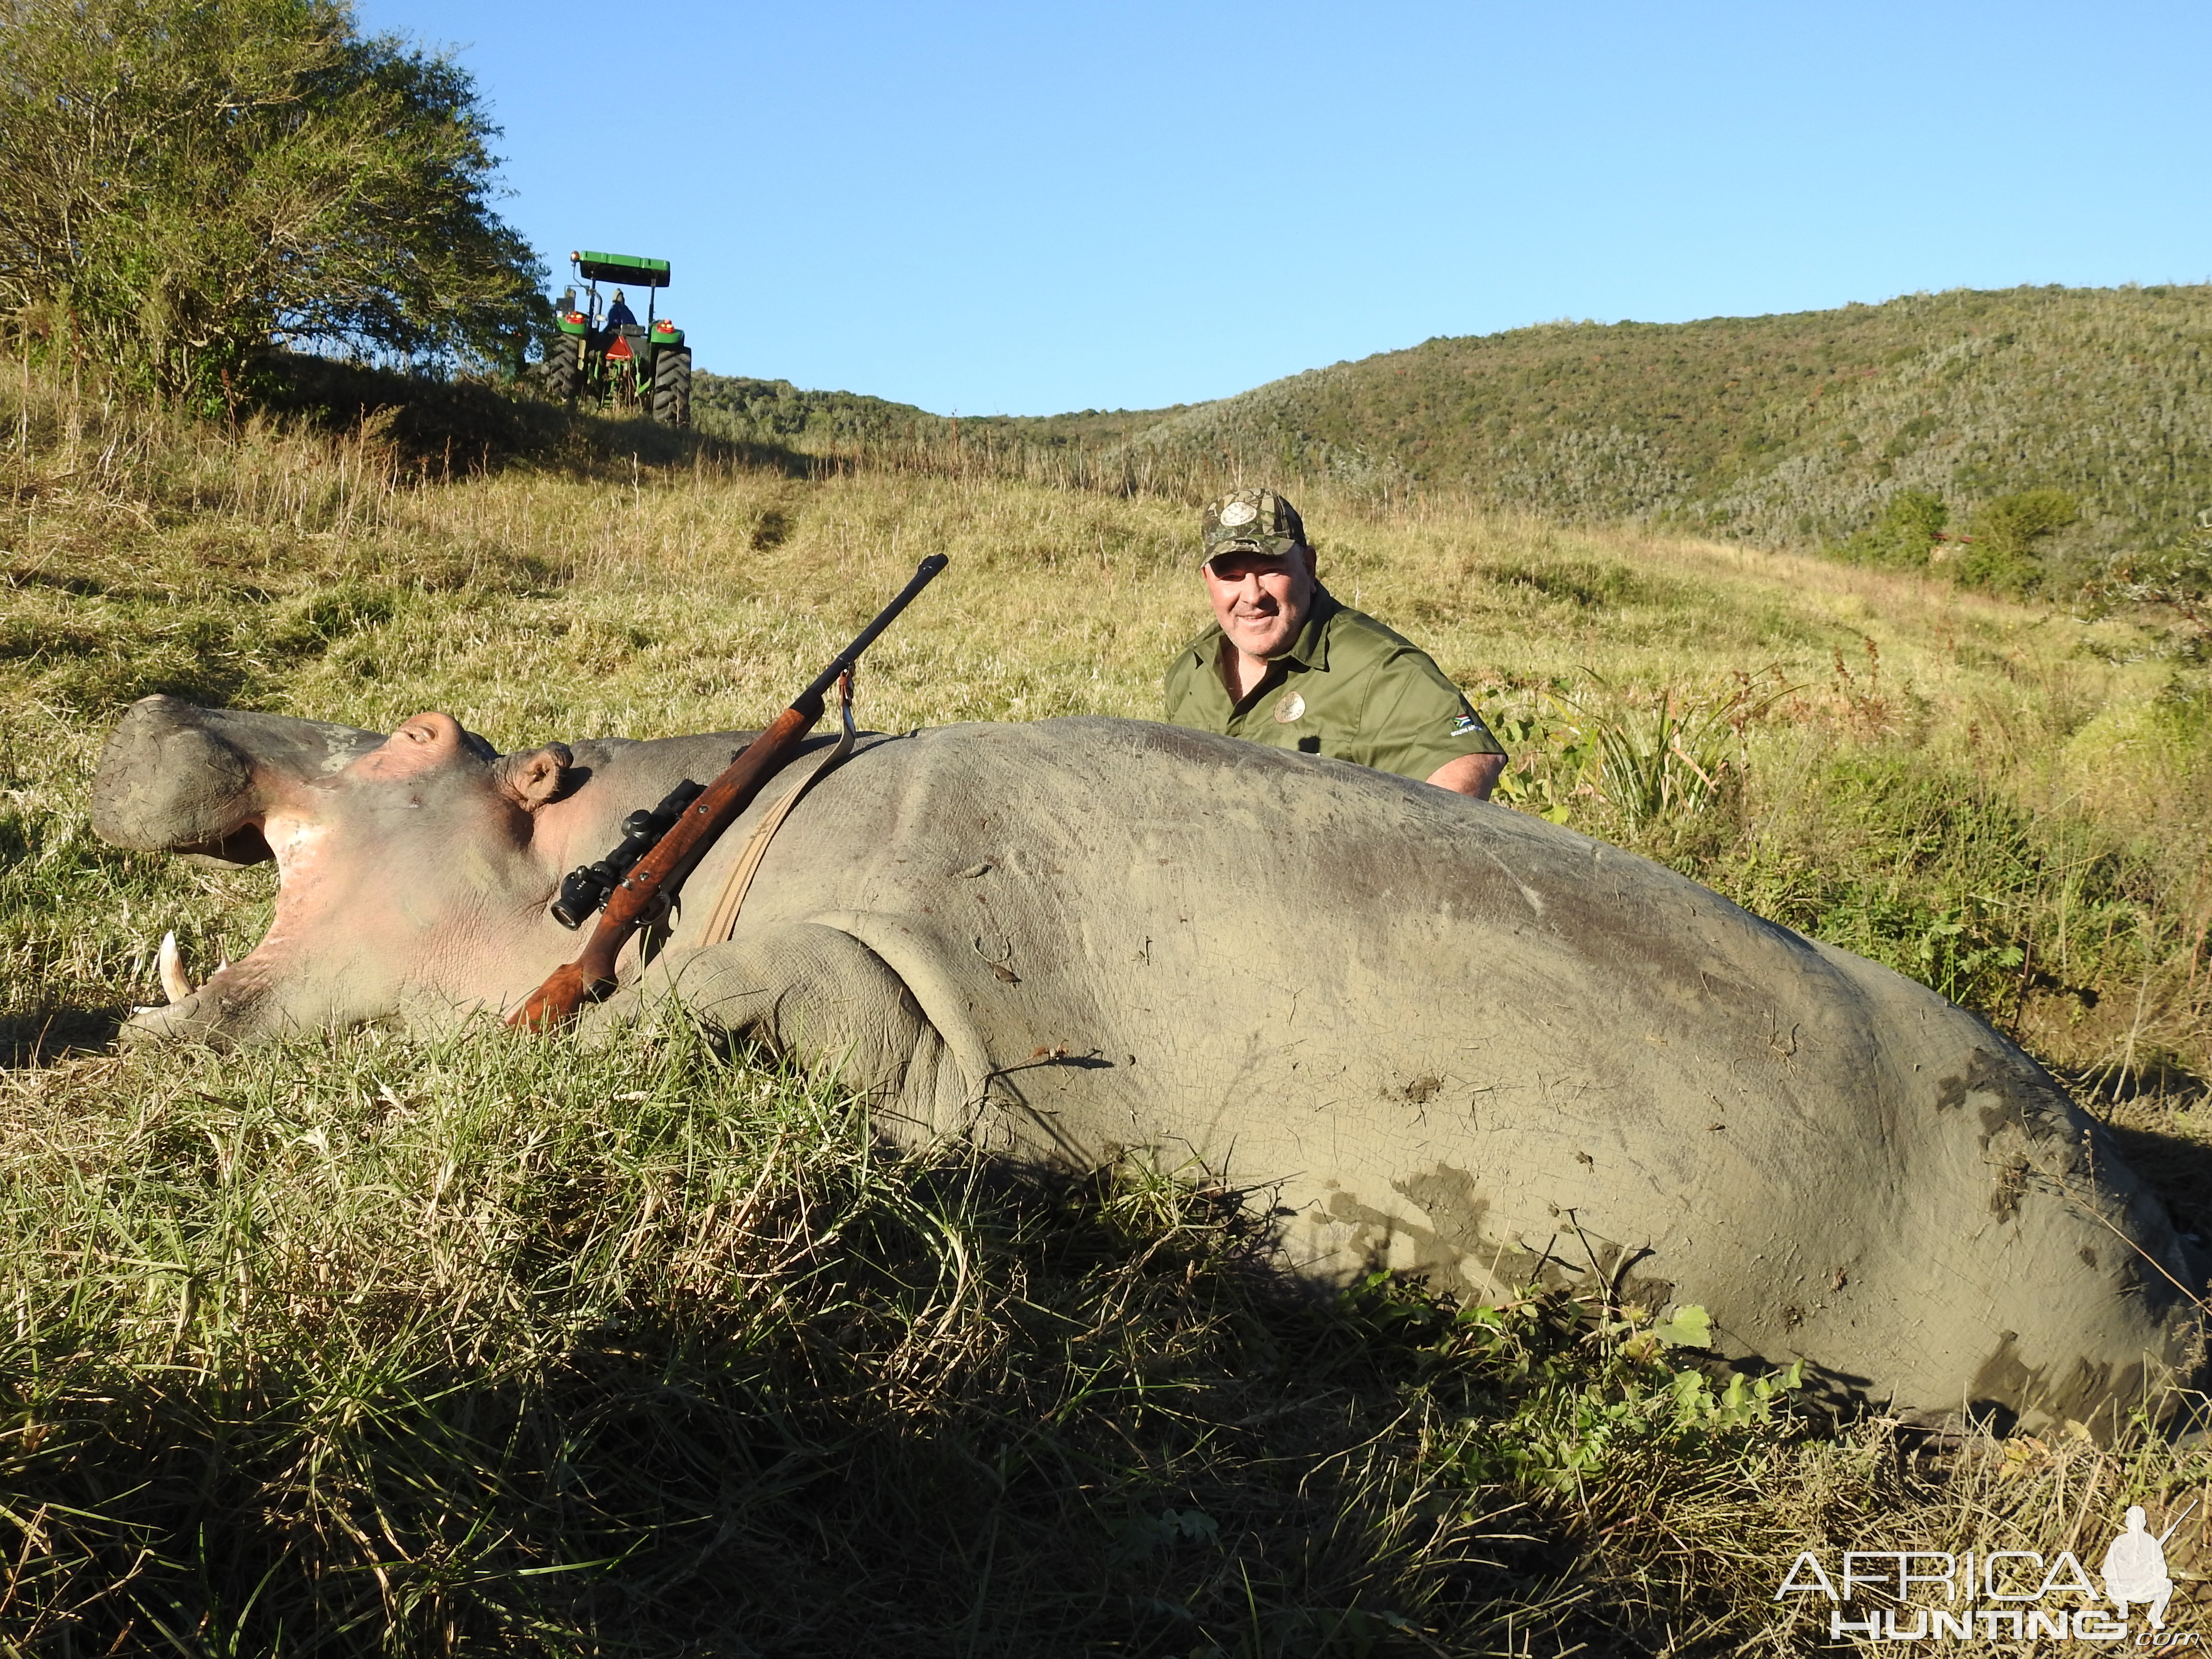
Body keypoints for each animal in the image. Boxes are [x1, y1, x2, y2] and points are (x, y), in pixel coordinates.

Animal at [95, 694, 2203, 1433]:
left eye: (423, 739)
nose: (163, 695)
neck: (651, 845)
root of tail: (2155, 1251)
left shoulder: (876, 978)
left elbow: (765, 1001)